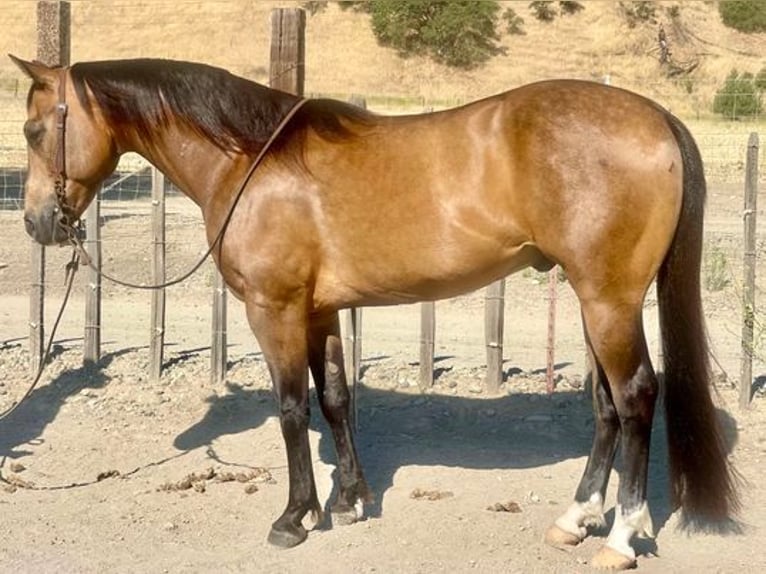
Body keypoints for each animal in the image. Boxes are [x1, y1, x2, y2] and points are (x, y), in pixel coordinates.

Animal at [10, 55, 739, 570]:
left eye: (34, 129)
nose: (38, 223)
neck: (252, 160)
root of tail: (656, 118)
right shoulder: (320, 313)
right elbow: (335, 399)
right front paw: (349, 499)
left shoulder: (274, 310)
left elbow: (292, 408)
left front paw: (295, 517)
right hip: (593, 301)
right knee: (606, 405)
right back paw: (575, 519)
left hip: (609, 300)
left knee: (636, 396)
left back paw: (620, 537)